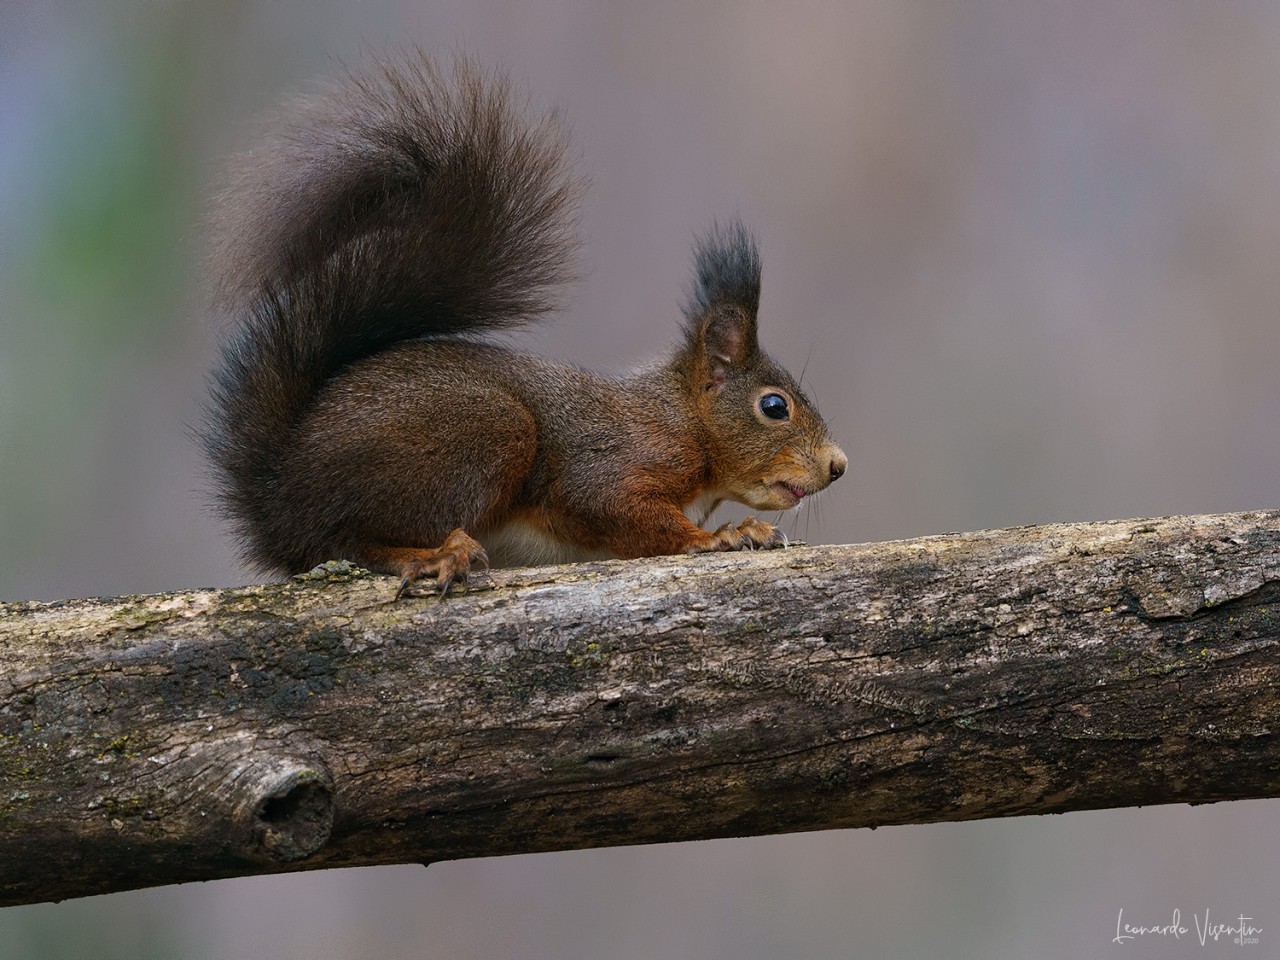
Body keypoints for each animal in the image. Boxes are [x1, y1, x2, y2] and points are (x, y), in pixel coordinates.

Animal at [203, 54, 847, 598]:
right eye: (774, 406)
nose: (838, 466)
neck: (683, 419)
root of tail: (279, 491)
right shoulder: (614, 463)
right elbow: (627, 514)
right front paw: (724, 536)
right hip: (485, 430)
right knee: (345, 539)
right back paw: (433, 554)